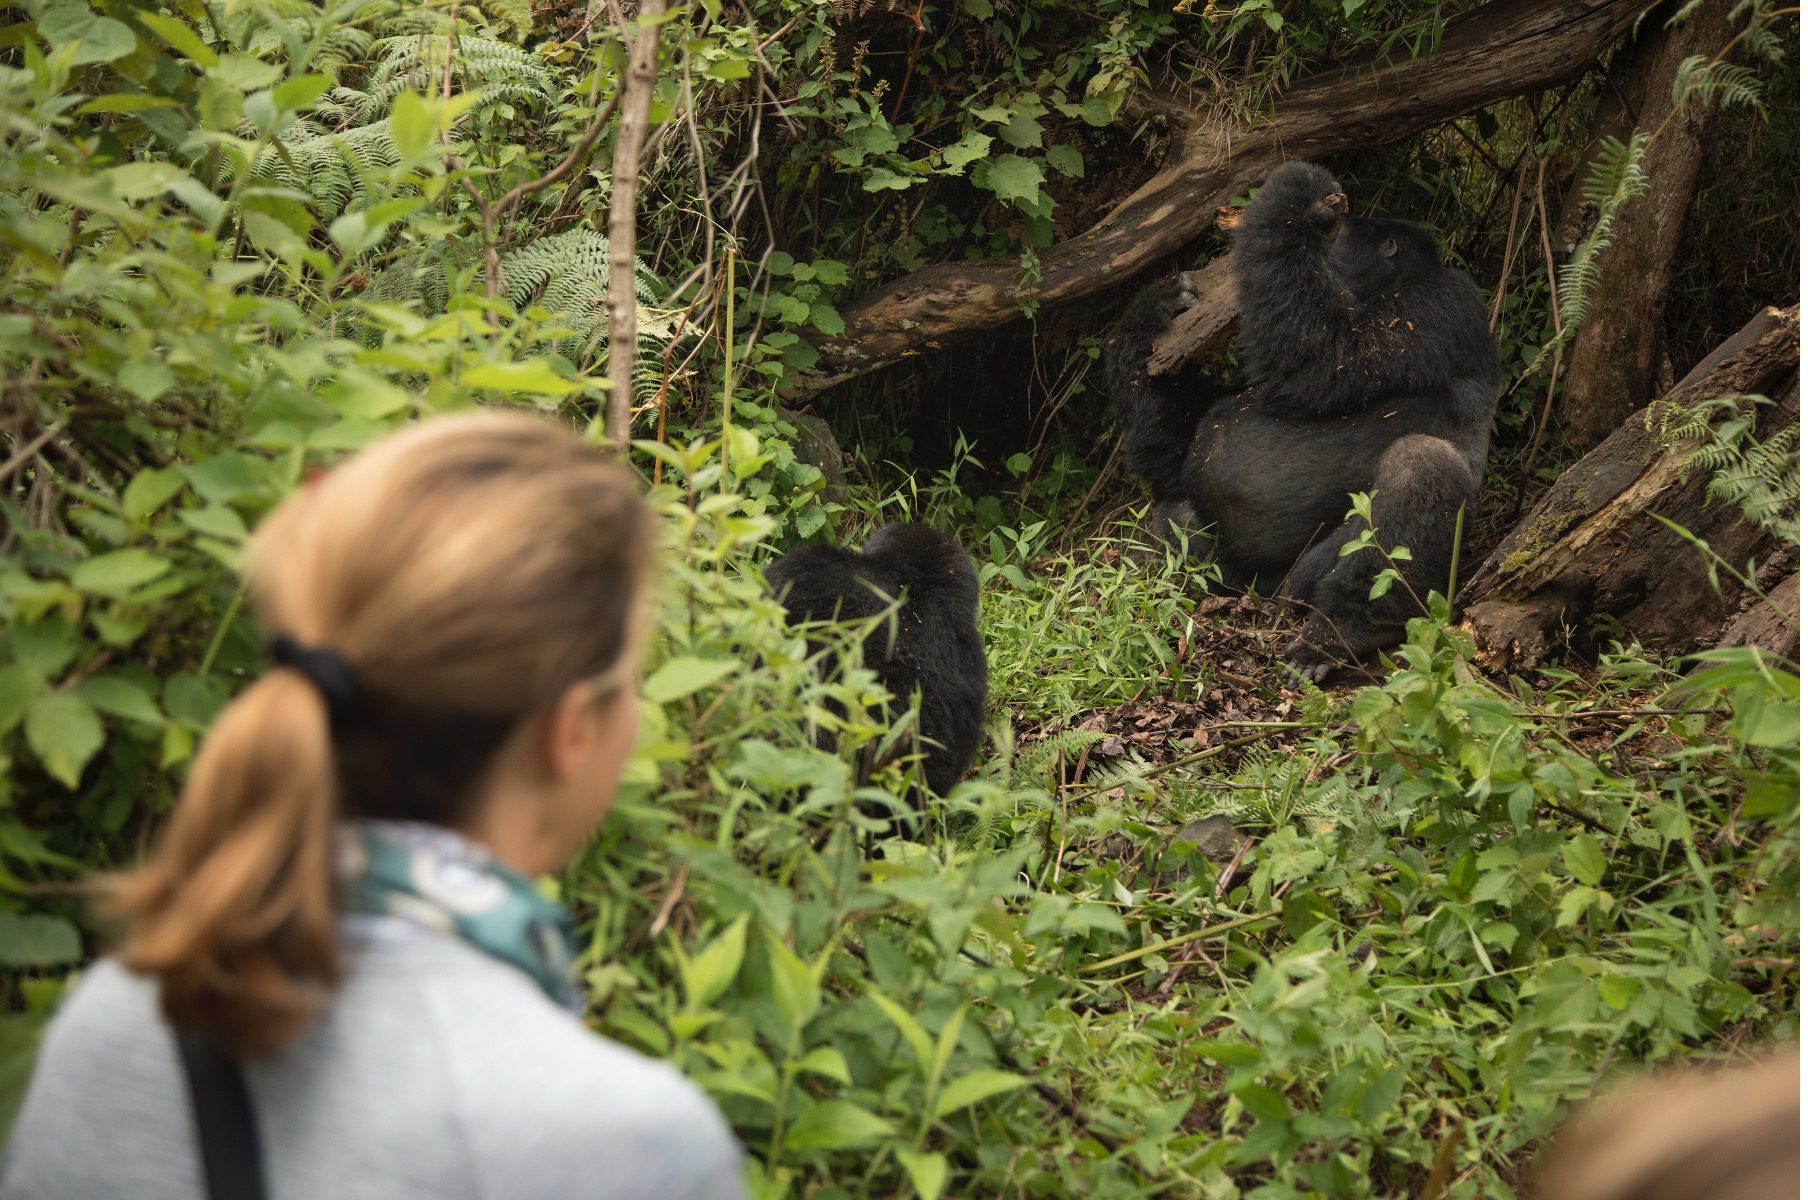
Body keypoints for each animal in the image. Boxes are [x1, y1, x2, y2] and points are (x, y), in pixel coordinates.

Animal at [1104, 160, 1500, 679]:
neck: (1384, 285)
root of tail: (1268, 593)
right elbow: (1176, 445)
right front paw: (1155, 306)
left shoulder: (1444, 300)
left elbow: (1329, 358)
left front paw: (1292, 193)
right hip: (1247, 578)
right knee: (1177, 515)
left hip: (1306, 580)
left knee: (1423, 465)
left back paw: (1345, 628)